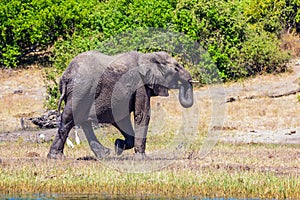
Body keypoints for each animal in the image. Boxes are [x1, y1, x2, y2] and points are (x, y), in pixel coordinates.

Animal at [47, 50, 195, 159]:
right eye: (176, 68)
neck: (148, 57)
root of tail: (65, 77)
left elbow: (121, 118)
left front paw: (118, 146)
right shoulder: (141, 84)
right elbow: (142, 115)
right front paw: (142, 158)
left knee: (81, 119)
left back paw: (104, 154)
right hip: (81, 89)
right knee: (69, 117)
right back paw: (56, 157)